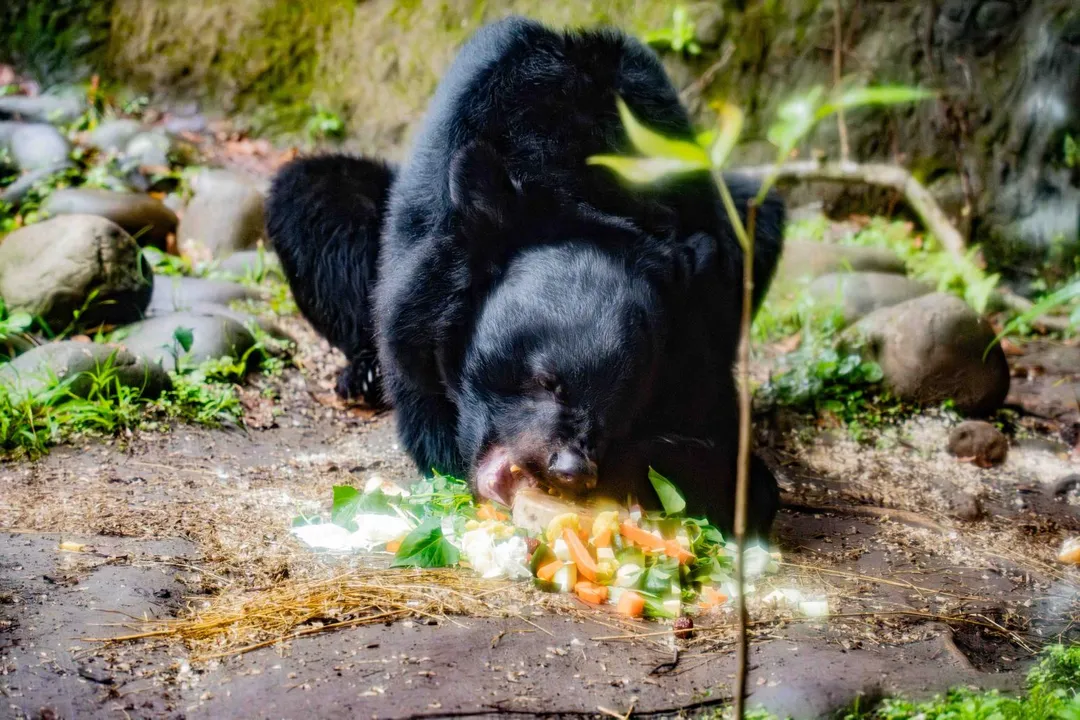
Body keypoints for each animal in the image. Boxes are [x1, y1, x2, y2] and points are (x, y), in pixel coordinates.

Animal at [267, 15, 785, 539]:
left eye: (621, 403)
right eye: (545, 381)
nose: (571, 469)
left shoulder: (700, 306)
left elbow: (720, 449)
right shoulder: (419, 277)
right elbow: (421, 393)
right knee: (311, 192)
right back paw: (363, 375)